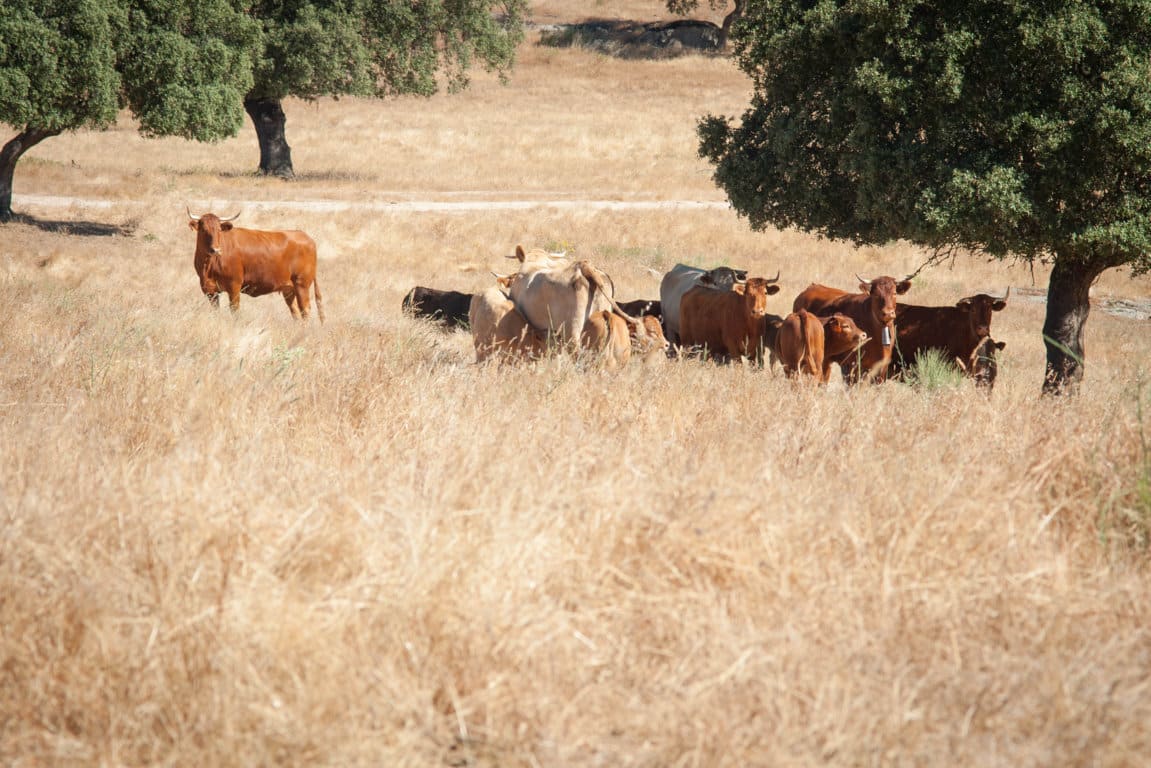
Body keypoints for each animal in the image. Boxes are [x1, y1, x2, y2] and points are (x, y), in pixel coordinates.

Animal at [187, 210, 324, 322]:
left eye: (219, 230)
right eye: (203, 230)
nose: (215, 249)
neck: (208, 266)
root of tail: (306, 237)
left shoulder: (234, 286)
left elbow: (235, 311)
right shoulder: (210, 291)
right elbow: (216, 312)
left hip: (302, 284)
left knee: (305, 310)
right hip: (289, 289)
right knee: (295, 311)